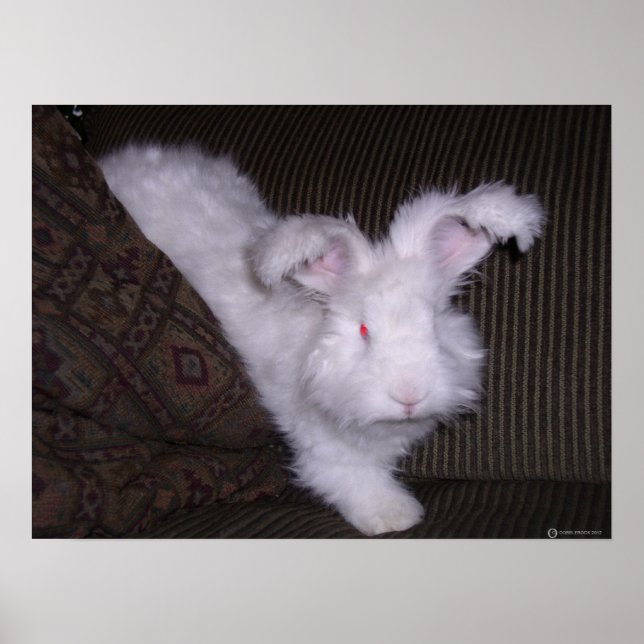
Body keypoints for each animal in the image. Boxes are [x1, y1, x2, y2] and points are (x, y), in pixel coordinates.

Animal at [99, 144, 544, 536]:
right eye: (364, 331)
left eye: (434, 324)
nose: (409, 395)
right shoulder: (325, 449)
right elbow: (351, 479)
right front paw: (394, 518)